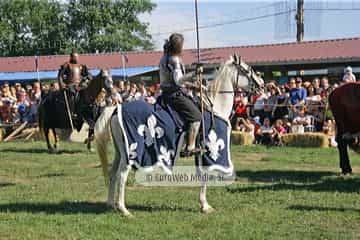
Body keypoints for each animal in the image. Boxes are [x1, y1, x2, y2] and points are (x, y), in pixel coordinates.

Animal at [94, 55, 262, 217]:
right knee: (122, 175)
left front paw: (203, 204)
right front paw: (205, 206)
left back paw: (111, 204)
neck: (214, 106)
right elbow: (206, 175)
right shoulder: (208, 151)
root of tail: (116, 109)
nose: (261, 85)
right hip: (130, 153)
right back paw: (123, 209)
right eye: (248, 69)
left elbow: (201, 174)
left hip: (120, 151)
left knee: (113, 173)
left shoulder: (199, 153)